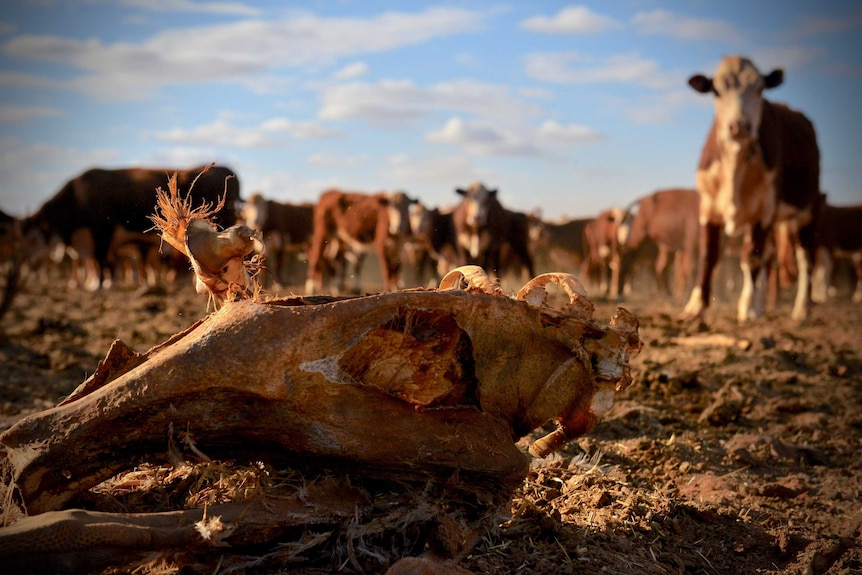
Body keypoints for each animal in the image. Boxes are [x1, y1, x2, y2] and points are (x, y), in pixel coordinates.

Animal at [680, 57, 824, 324]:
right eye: (716, 91)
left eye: (759, 90)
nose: (738, 126)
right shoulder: (708, 207)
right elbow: (708, 255)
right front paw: (696, 306)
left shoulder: (764, 210)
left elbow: (752, 257)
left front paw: (746, 307)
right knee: (768, 257)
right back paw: (762, 303)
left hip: (807, 211)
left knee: (805, 258)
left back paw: (802, 309)